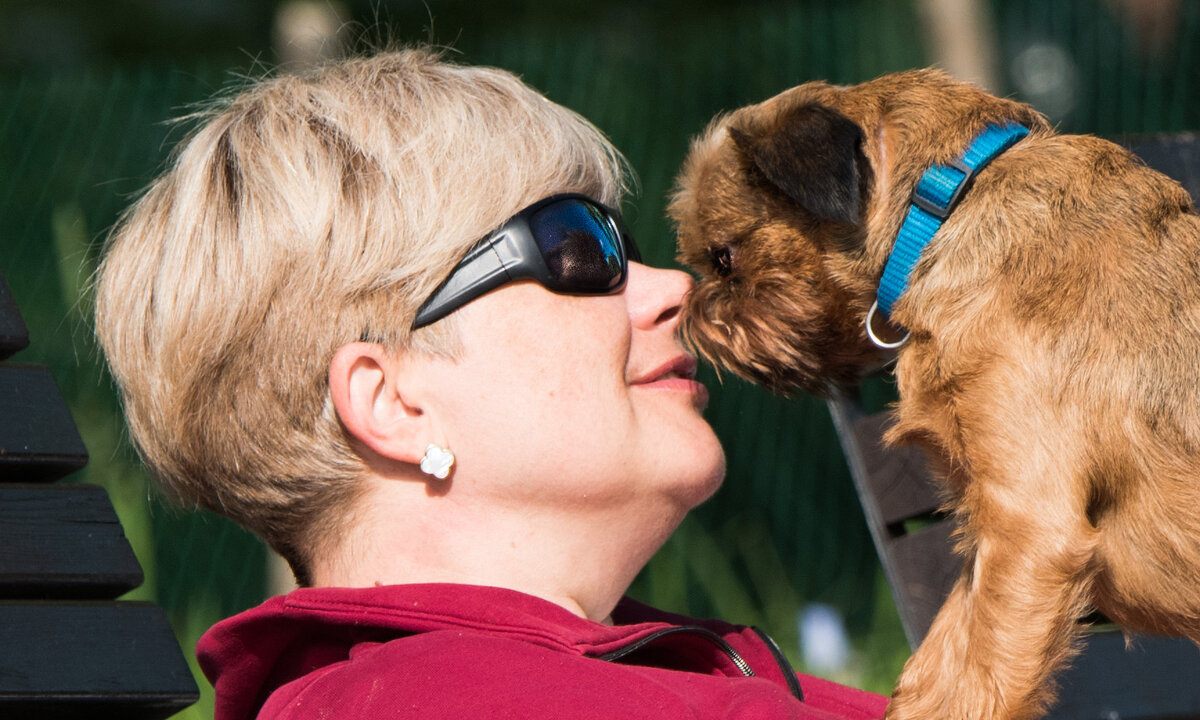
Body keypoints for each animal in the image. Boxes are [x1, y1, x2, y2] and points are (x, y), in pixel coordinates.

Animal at [672, 69, 1200, 720]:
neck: (949, 203)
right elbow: (938, 665)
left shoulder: (1030, 530)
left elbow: (979, 679)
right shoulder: (988, 544)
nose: (690, 313)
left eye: (723, 259)